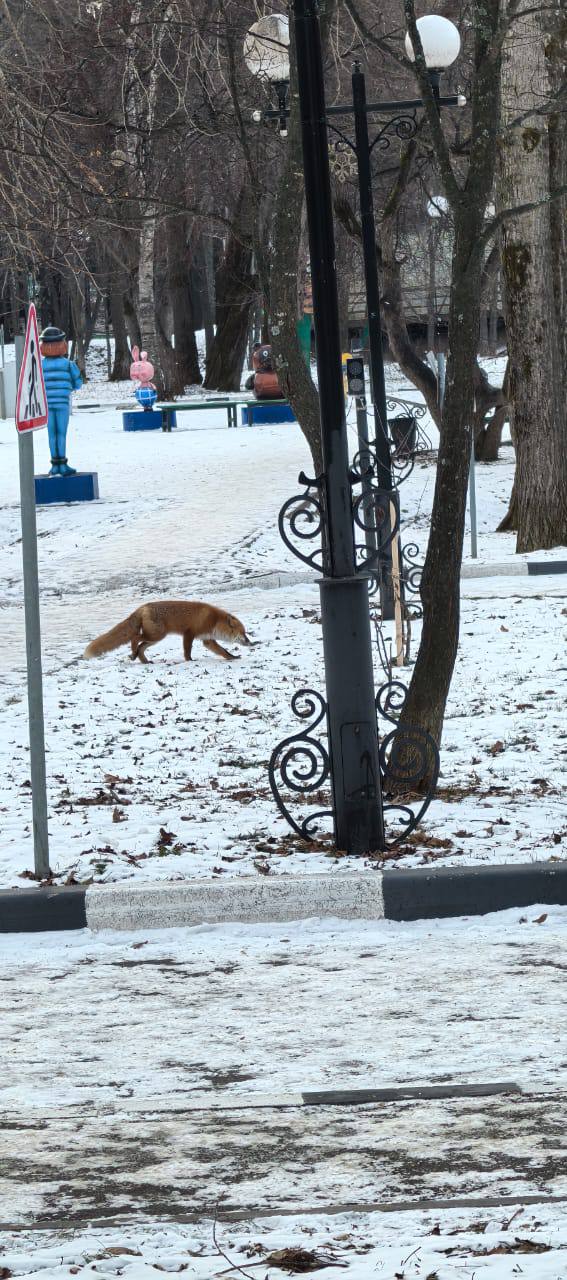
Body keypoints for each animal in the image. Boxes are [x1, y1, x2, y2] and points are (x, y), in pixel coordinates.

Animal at [83, 599, 252, 665]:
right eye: (243, 633)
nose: (250, 642)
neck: (214, 620)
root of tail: (142, 607)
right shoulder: (189, 633)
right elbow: (187, 651)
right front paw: (189, 661)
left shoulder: (207, 640)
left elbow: (223, 651)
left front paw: (232, 657)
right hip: (156, 635)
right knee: (135, 638)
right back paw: (133, 654)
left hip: (155, 638)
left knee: (141, 646)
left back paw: (143, 660)